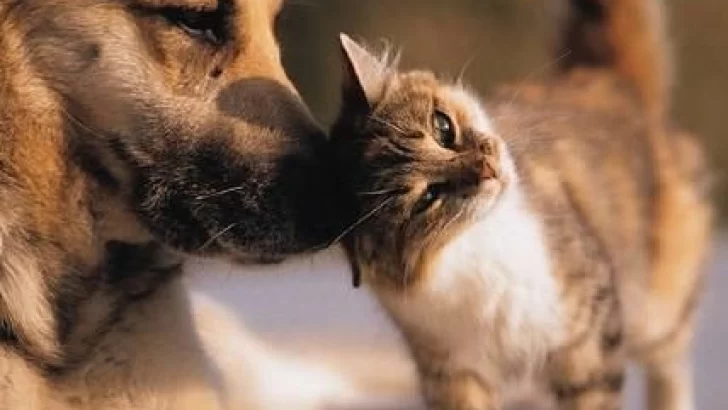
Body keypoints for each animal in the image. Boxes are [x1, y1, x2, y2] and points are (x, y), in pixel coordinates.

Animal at [328, 0, 712, 408]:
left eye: (442, 128)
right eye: (428, 198)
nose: (488, 169)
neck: (480, 249)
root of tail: (608, 79)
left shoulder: (589, 341)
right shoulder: (453, 372)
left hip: (658, 309)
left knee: (671, 364)